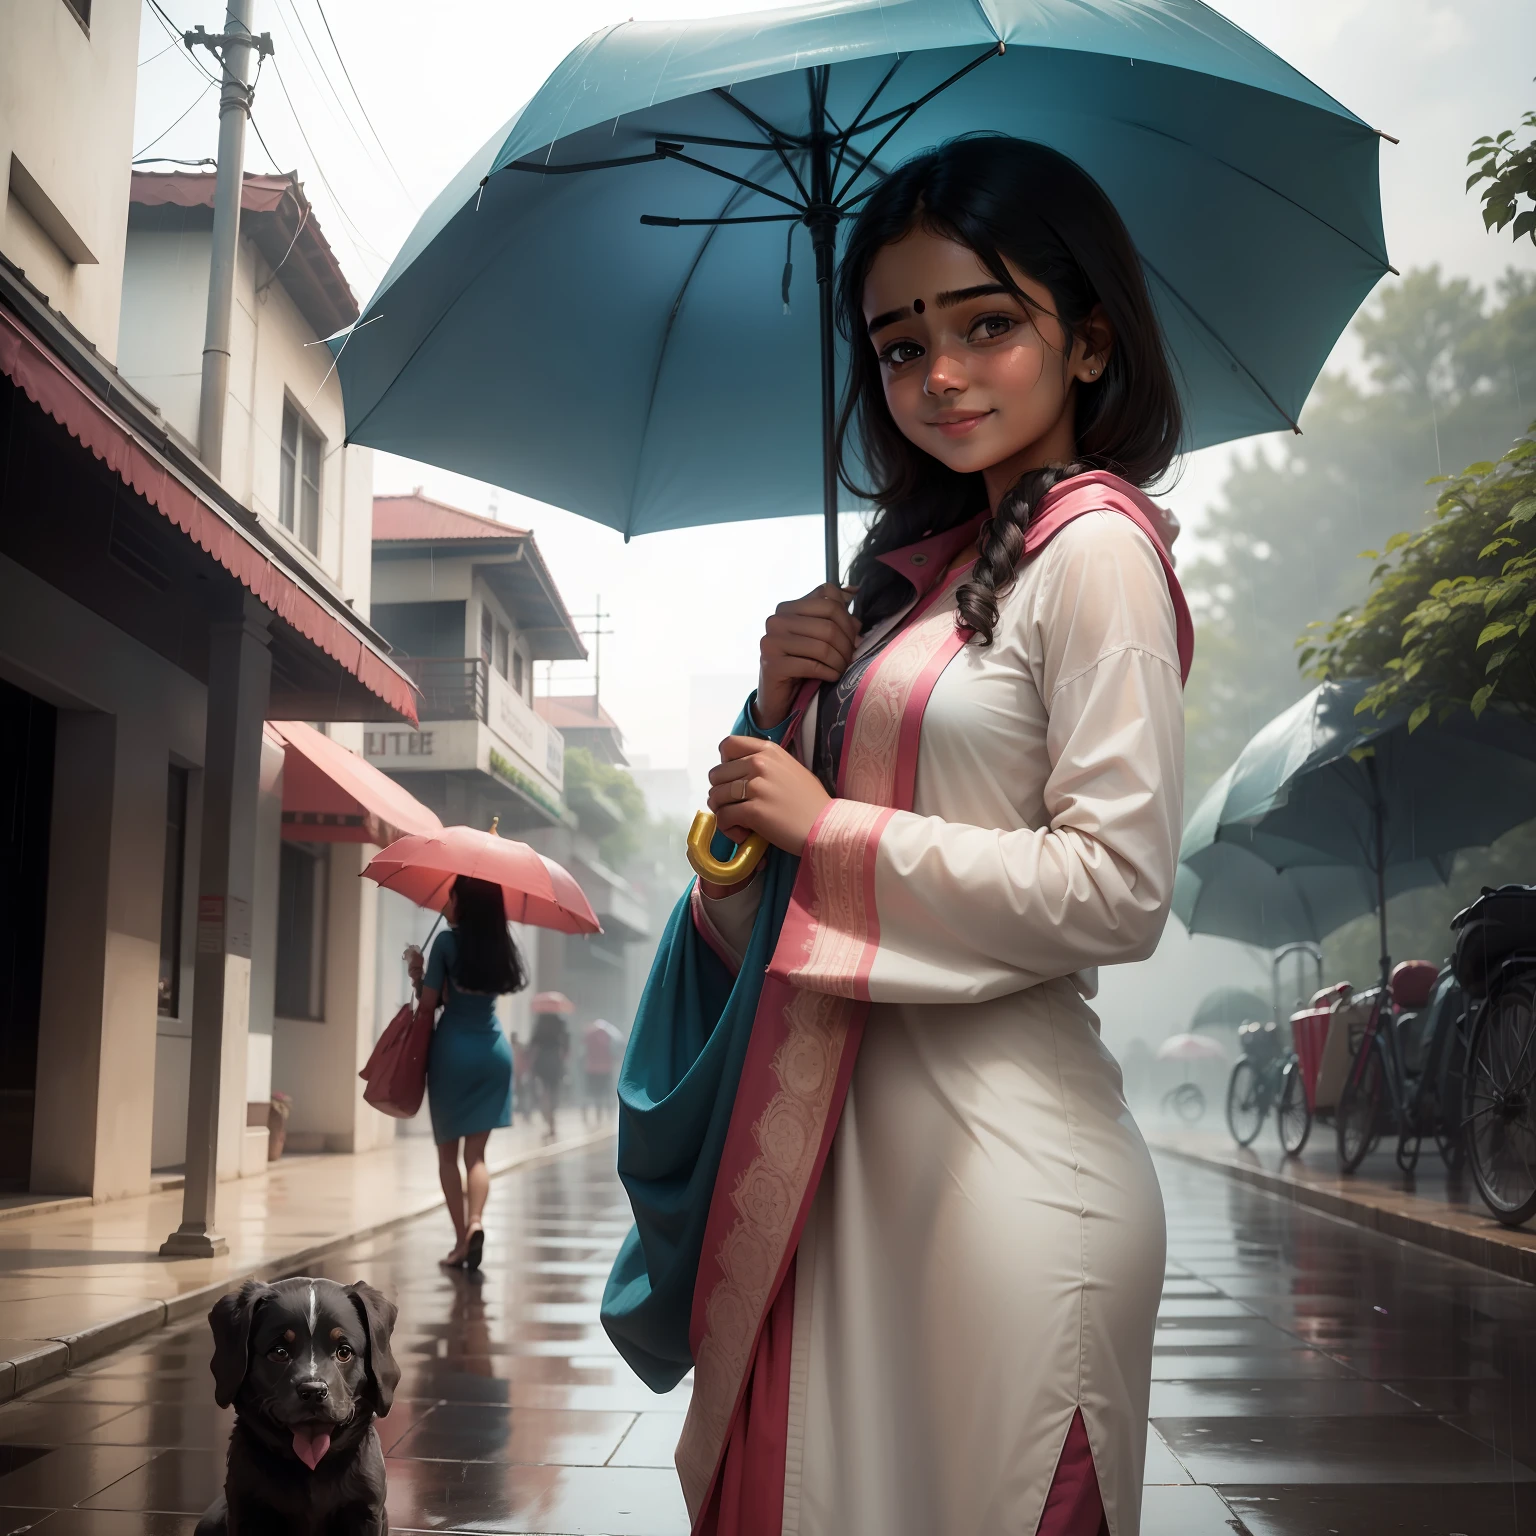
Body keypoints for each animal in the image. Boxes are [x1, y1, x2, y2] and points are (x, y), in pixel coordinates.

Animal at [195, 1271, 399, 1536]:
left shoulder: (365, 1512)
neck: (311, 1468)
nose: (313, 1391)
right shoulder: (247, 1511)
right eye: (279, 1352)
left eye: (344, 1351)